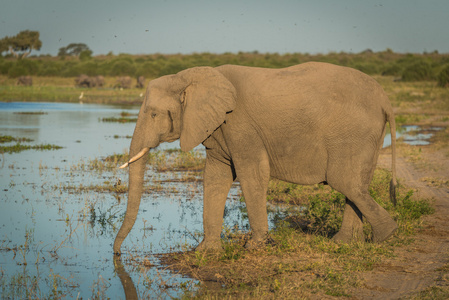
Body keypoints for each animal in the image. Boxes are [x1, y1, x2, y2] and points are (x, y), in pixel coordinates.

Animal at [114, 62, 398, 254]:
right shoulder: (219, 128)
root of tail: (385, 99)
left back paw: (385, 237)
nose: (116, 253)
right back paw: (345, 242)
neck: (190, 77)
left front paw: (255, 246)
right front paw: (205, 251)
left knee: (345, 181)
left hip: (352, 134)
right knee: (356, 184)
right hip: (367, 137)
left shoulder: (240, 125)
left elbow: (252, 172)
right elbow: (216, 177)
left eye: (153, 114)